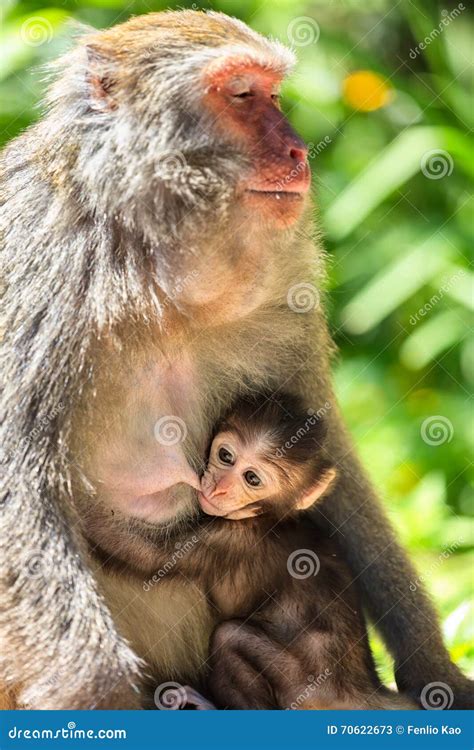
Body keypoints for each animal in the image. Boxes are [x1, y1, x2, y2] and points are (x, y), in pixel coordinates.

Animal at [180, 396, 416, 712]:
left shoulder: (230, 538)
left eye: (252, 478)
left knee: (228, 638)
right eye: (225, 456)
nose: (219, 488)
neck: (267, 516)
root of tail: (363, 690)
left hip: (302, 686)